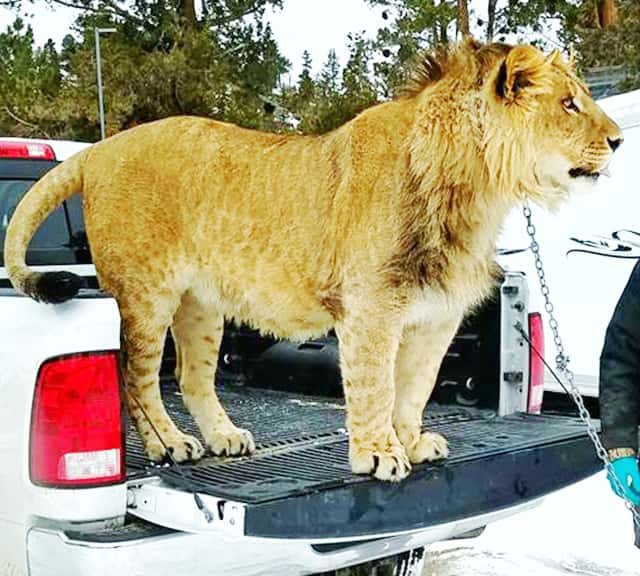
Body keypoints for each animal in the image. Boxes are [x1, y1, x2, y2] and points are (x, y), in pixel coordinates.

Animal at [3, 37, 620, 482]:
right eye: (569, 104)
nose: (617, 141)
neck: (476, 193)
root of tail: (100, 148)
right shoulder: (371, 309)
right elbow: (375, 385)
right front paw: (379, 455)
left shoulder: (436, 317)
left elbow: (415, 388)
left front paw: (412, 441)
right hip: (146, 294)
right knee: (138, 379)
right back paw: (170, 444)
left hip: (200, 305)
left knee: (190, 375)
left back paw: (225, 437)